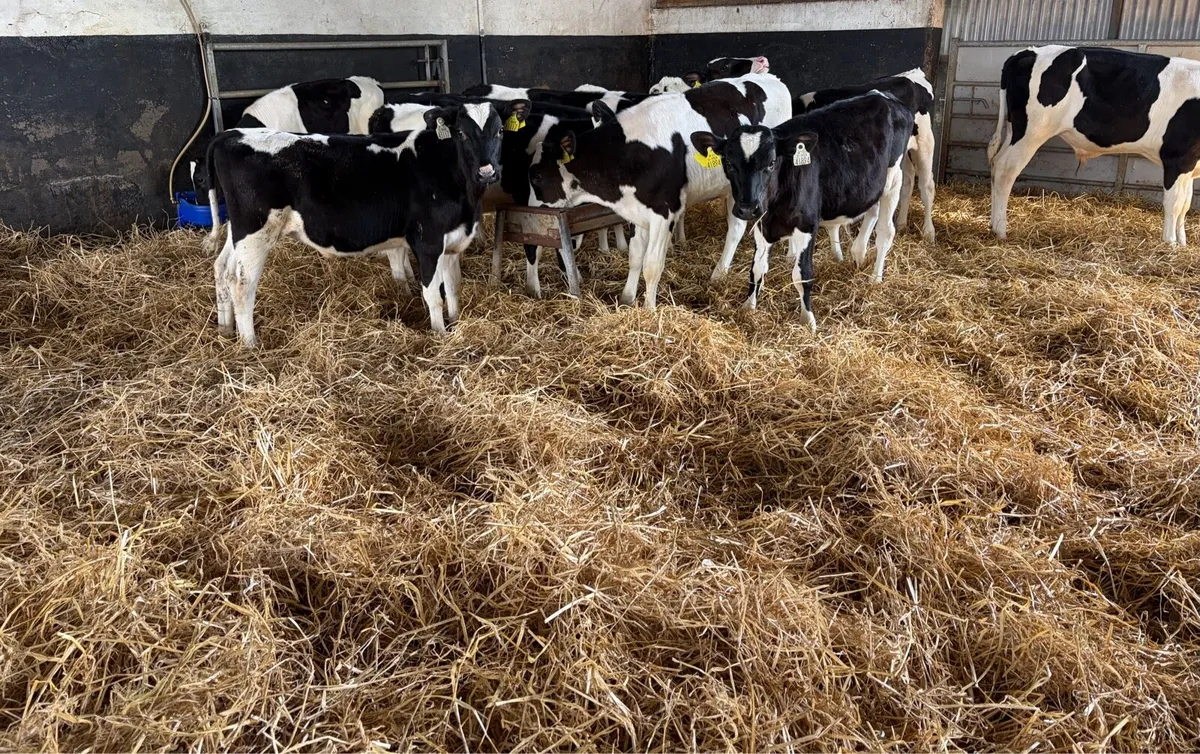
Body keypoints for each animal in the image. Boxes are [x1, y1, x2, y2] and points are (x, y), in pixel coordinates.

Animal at [203, 103, 505, 347]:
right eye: (461, 133)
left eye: (500, 131)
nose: (487, 172)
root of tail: (231, 134)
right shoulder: (428, 241)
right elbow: (433, 294)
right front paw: (440, 335)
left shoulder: (453, 240)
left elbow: (453, 288)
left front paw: (456, 324)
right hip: (255, 231)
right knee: (241, 284)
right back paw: (250, 344)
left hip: (238, 231)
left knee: (222, 269)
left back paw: (225, 329)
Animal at [527, 73, 792, 310]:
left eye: (536, 176)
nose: (527, 213)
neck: (632, 152)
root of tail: (772, 78)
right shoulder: (638, 209)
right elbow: (635, 256)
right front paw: (627, 298)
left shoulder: (665, 212)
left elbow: (652, 265)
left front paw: (649, 310)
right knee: (736, 226)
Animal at [690, 91, 914, 331]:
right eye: (729, 163)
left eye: (771, 163)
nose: (747, 207)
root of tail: (885, 96)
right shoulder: (761, 225)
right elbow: (757, 268)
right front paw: (748, 307)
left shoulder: (806, 225)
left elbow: (801, 274)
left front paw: (808, 320)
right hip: (872, 184)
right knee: (871, 212)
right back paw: (858, 253)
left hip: (894, 180)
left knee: (885, 233)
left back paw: (875, 278)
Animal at [794, 69, 937, 252]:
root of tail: (914, 73)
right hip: (900, 155)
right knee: (908, 182)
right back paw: (902, 224)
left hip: (924, 142)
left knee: (926, 187)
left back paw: (928, 232)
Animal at [989, 45, 1200, 245]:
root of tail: (1027, 52)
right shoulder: (1177, 158)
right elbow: (1175, 203)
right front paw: (1170, 243)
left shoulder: (1191, 164)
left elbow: (1186, 204)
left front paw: (1182, 243)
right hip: (1032, 131)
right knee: (1005, 170)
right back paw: (1000, 230)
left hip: (1014, 129)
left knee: (996, 163)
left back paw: (993, 224)